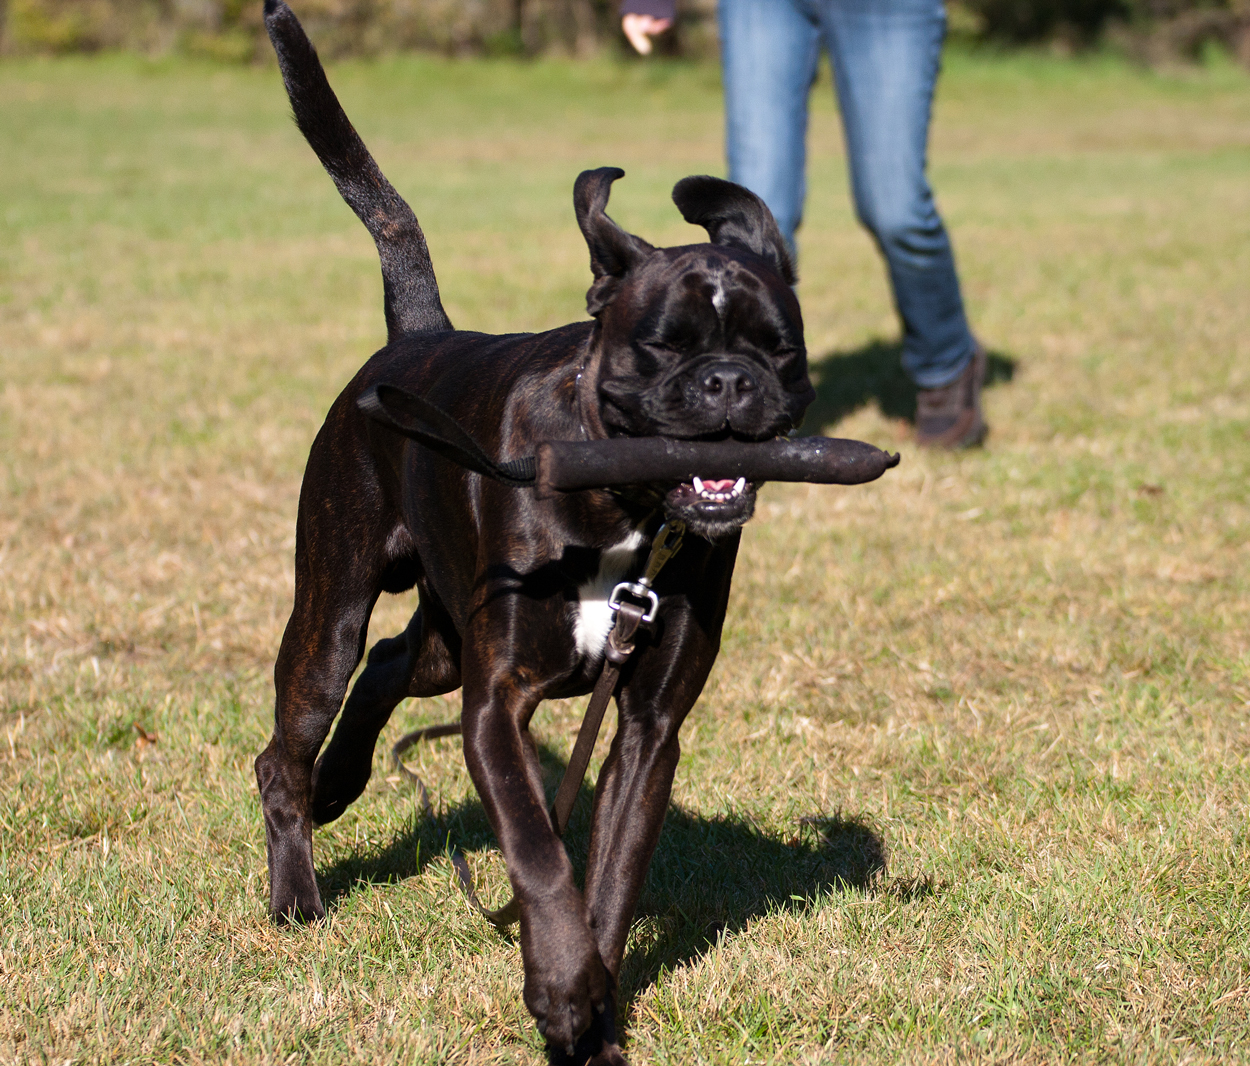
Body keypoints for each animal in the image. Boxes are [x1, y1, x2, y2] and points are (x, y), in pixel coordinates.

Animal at [255, 4, 820, 1059]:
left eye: (780, 349)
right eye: (663, 346)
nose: (731, 382)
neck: (628, 511)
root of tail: (415, 335)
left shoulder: (648, 729)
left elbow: (610, 880)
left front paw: (589, 1011)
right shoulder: (497, 704)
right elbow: (538, 853)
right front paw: (560, 988)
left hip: (443, 638)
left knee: (390, 666)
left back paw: (343, 780)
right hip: (335, 607)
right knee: (292, 738)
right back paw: (297, 889)